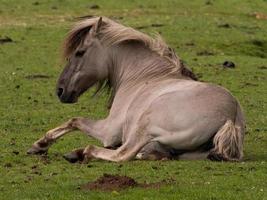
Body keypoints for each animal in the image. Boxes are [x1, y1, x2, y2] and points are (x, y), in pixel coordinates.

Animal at [26, 16, 246, 162]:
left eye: (80, 52)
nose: (60, 91)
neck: (143, 75)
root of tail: (230, 116)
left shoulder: (109, 130)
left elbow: (75, 120)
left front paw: (40, 144)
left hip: (142, 126)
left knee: (121, 154)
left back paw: (80, 153)